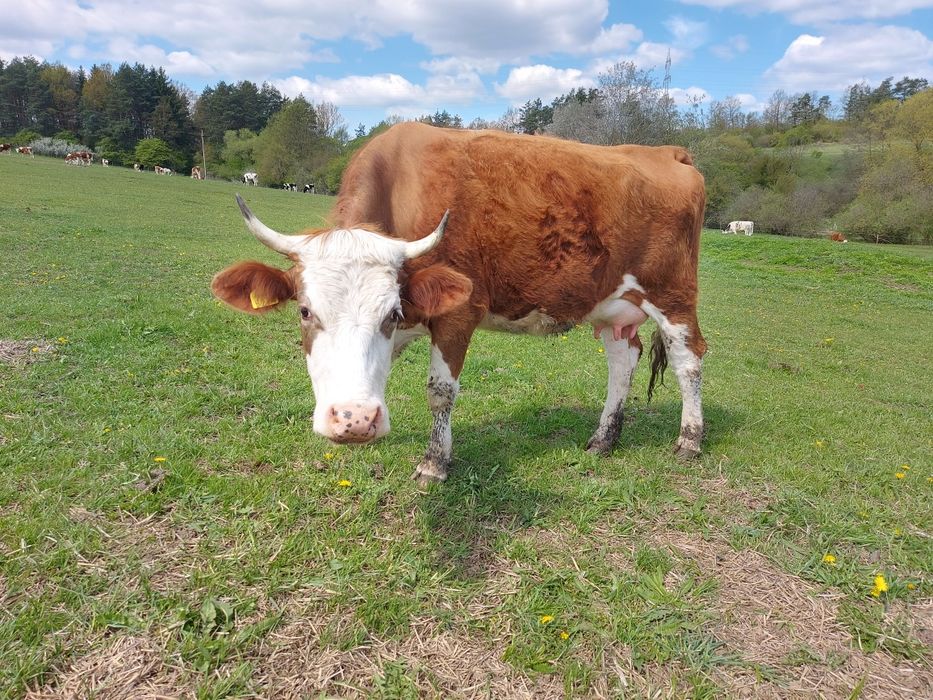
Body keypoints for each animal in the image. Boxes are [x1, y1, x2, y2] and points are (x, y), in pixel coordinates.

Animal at [212, 123, 707, 485]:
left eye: (390, 313)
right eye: (305, 311)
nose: (353, 421)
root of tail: (667, 153)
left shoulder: (456, 314)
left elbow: (440, 392)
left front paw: (435, 462)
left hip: (673, 295)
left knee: (689, 360)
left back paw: (689, 440)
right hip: (611, 305)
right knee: (623, 360)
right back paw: (604, 439)